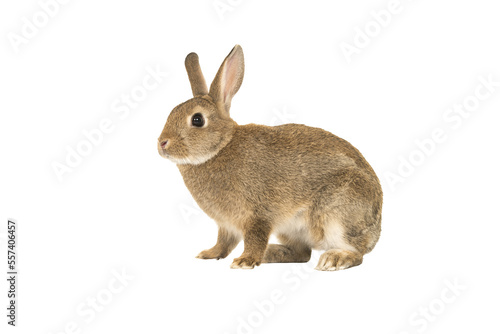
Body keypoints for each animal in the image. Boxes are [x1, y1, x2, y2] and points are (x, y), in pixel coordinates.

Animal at [158, 45, 380, 272]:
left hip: (339, 215)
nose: (162, 143)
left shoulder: (257, 216)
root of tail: (377, 227)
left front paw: (244, 261)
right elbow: (223, 242)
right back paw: (272, 253)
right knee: (302, 253)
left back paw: (334, 259)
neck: (221, 147)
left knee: (356, 252)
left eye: (197, 119)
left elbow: (254, 238)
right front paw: (209, 254)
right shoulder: (226, 225)